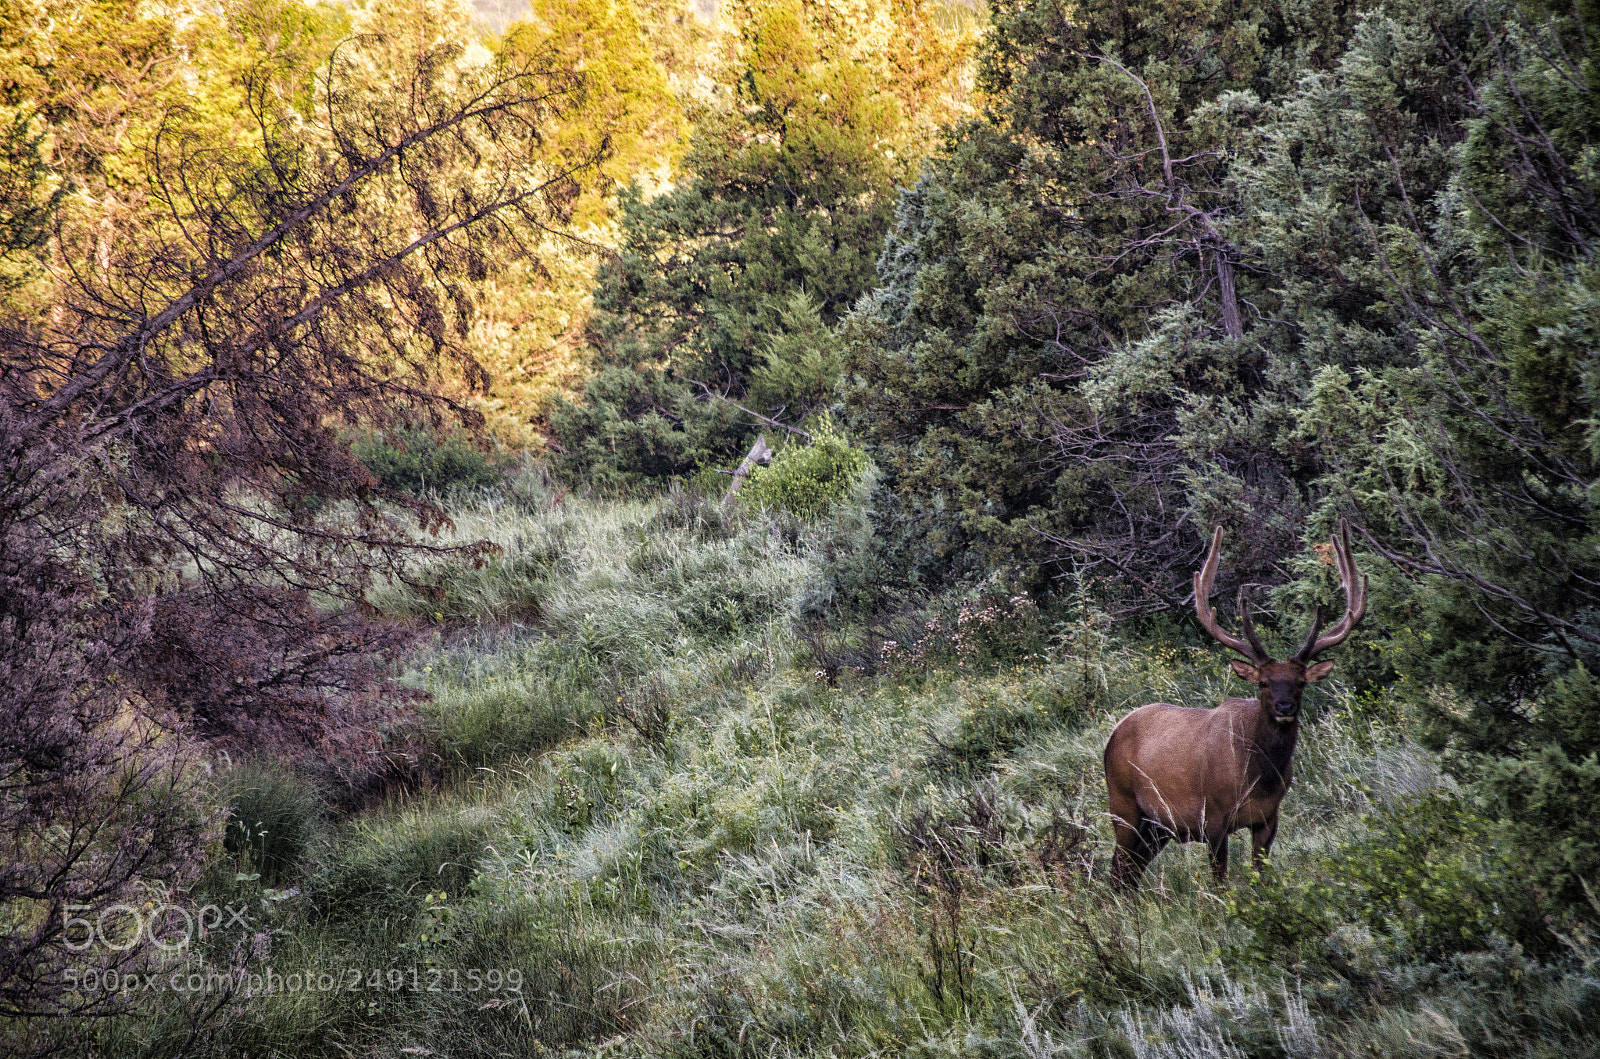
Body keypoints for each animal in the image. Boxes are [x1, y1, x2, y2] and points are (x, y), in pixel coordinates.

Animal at [1103, 521, 1367, 889]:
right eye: (1263, 682)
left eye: (1300, 682)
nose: (1284, 707)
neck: (1258, 777)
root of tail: (1113, 734)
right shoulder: (1212, 817)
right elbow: (1221, 881)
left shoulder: (1269, 818)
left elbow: (1260, 876)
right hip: (1123, 802)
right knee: (1118, 871)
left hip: (1159, 827)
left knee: (1128, 873)